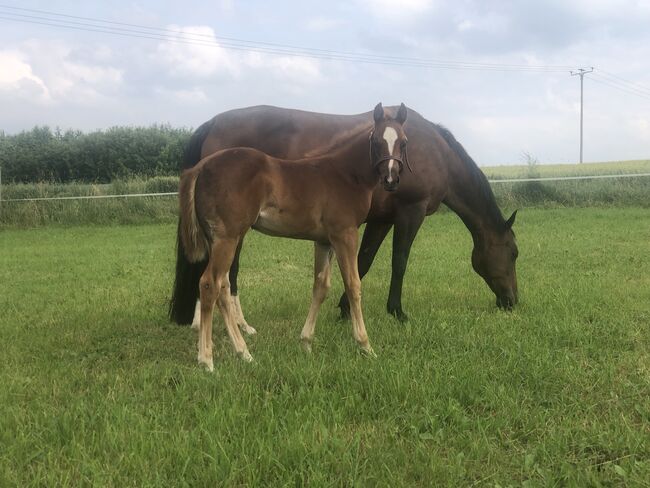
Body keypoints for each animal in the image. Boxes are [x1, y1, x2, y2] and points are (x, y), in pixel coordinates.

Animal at [170, 104, 520, 330]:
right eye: (514, 253)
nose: (513, 301)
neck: (433, 152)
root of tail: (213, 124)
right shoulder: (411, 211)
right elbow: (399, 262)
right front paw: (397, 311)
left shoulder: (380, 219)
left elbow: (363, 262)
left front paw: (343, 309)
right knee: (225, 273)